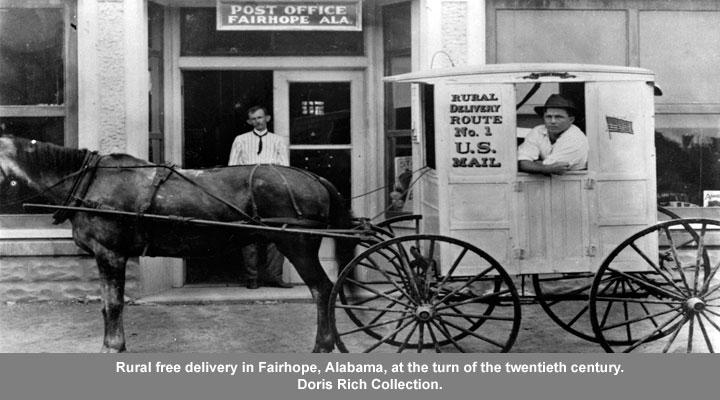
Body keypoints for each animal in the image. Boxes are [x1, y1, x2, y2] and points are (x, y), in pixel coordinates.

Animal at [0, 135, 358, 354]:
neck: (91, 183)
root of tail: (314, 178)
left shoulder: (110, 254)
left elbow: (113, 305)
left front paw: (112, 346)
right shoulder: (107, 257)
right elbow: (107, 305)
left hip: (297, 245)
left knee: (322, 290)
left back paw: (323, 345)